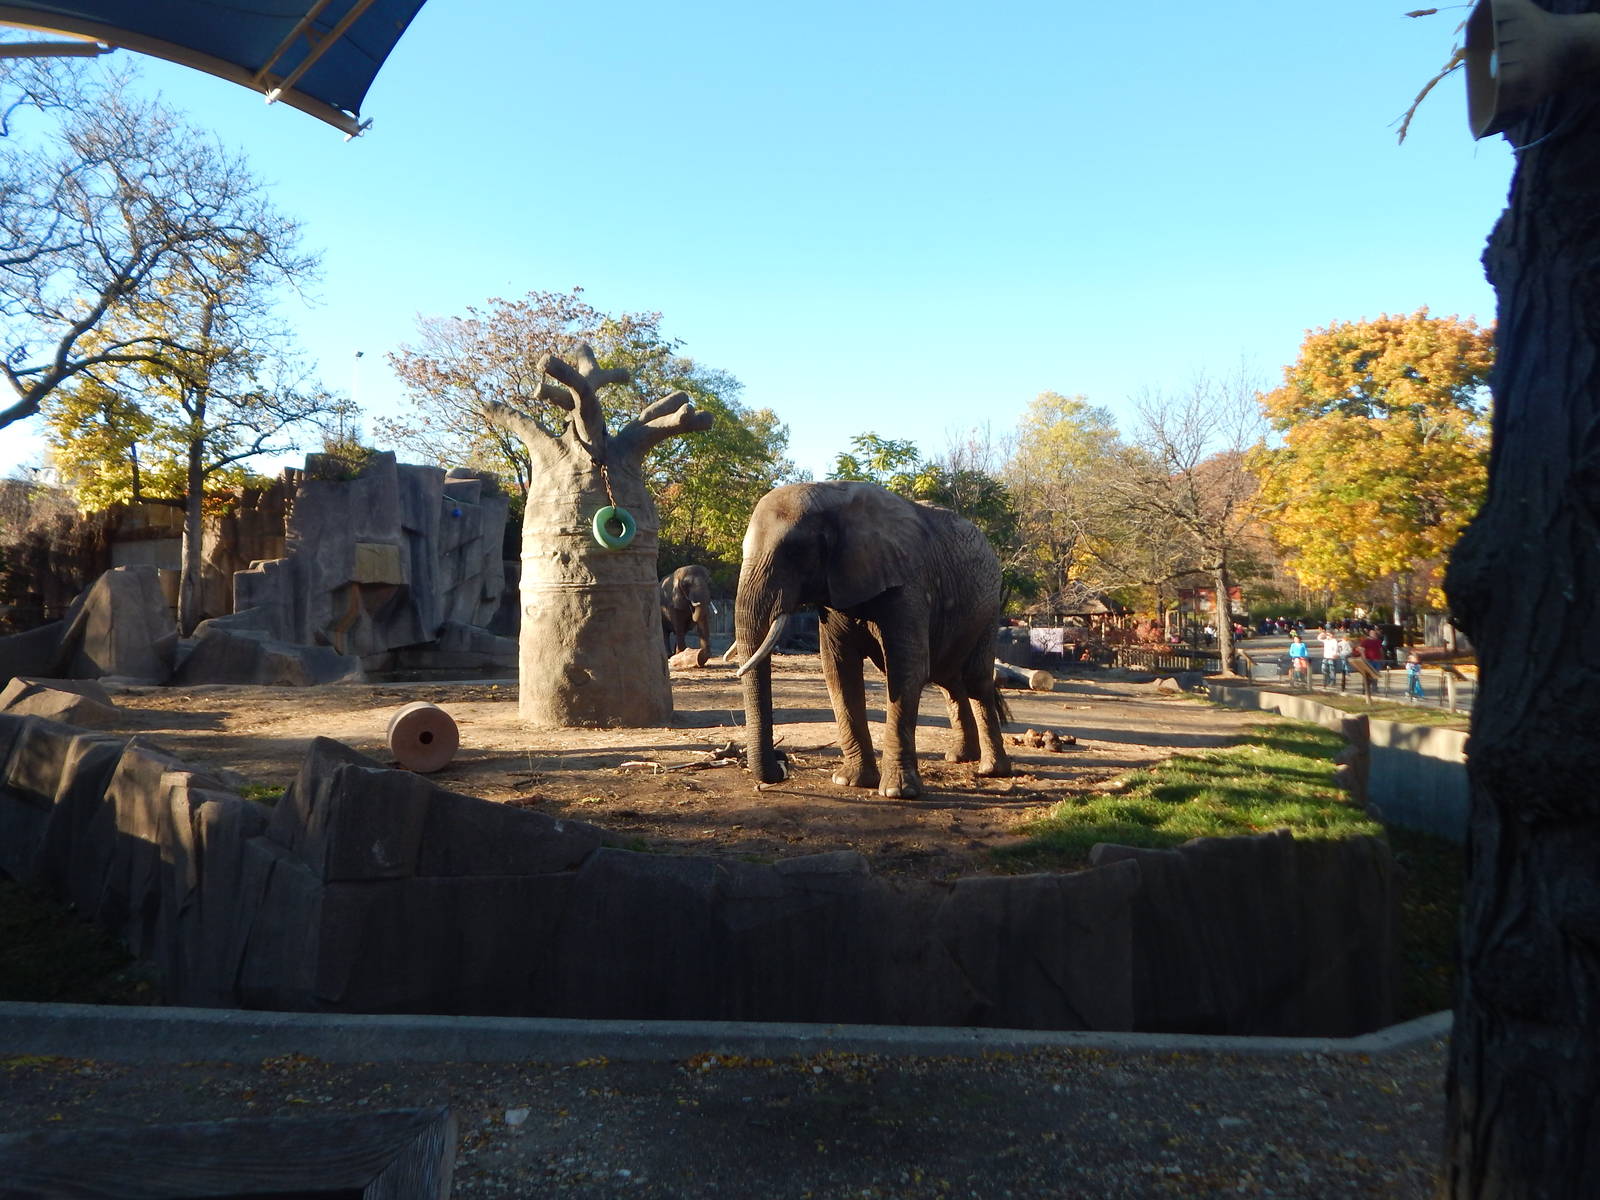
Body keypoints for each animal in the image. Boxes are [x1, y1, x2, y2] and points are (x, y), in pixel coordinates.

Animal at [735, 480, 1011, 798]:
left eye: (794, 552)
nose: (783, 762)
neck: (832, 497)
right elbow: (839, 671)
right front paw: (850, 781)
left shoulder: (909, 585)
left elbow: (908, 669)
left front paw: (896, 792)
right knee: (948, 679)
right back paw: (960, 757)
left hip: (989, 607)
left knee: (975, 679)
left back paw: (991, 770)